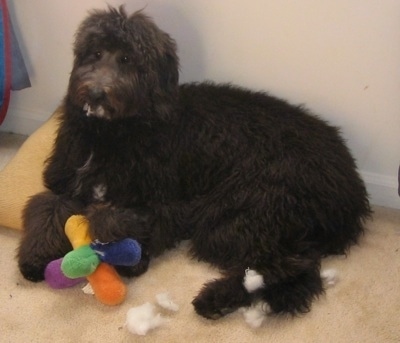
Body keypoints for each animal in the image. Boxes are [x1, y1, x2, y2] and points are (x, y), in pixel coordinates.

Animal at [18, 6, 368, 322]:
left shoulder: (168, 203)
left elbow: (115, 217)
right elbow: (46, 209)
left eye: (128, 59)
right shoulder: (65, 183)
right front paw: (35, 258)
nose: (94, 93)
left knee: (284, 266)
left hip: (239, 211)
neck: (113, 133)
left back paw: (217, 299)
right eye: (96, 52)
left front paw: (128, 253)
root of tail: (351, 184)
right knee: (298, 270)